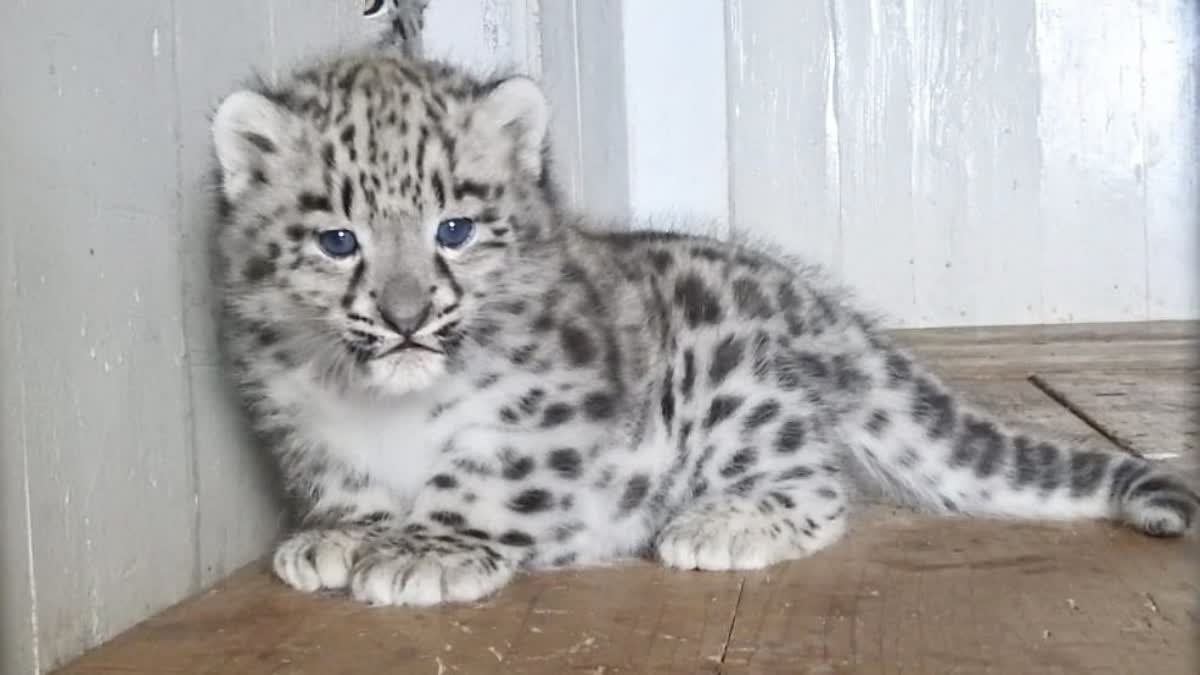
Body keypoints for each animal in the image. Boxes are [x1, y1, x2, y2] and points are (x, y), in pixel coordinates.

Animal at [208, 4, 1198, 607]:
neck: (384, 404)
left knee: (821, 483)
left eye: (454, 227)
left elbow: (490, 478)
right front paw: (345, 535)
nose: (408, 315)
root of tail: (818, 307)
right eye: (339, 240)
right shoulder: (303, 419)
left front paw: (426, 551)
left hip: (739, 397)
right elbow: (351, 480)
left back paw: (722, 524)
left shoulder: (546, 410)